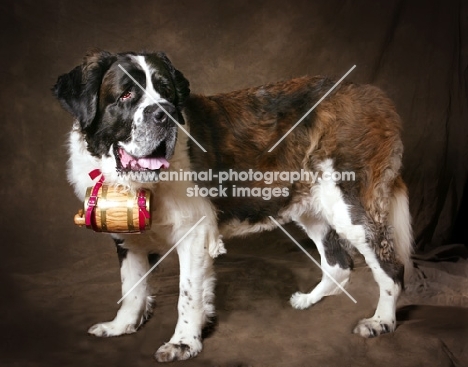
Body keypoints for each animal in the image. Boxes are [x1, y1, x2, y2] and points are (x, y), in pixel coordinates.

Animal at [53, 49, 414, 362]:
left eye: (167, 92)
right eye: (126, 95)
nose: (165, 113)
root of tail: (373, 95)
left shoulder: (194, 233)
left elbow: (187, 293)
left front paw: (183, 343)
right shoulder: (129, 238)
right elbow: (132, 287)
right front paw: (122, 326)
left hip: (350, 205)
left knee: (391, 268)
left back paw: (381, 322)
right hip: (310, 204)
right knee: (338, 264)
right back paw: (309, 300)